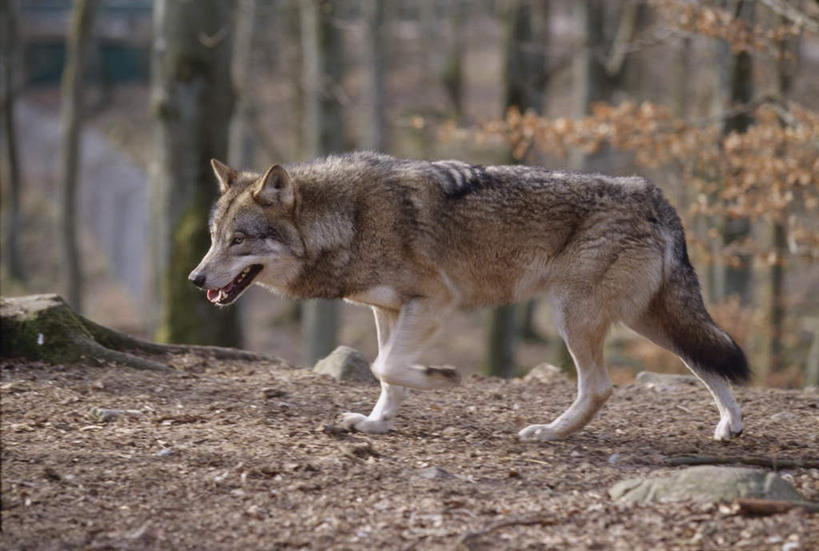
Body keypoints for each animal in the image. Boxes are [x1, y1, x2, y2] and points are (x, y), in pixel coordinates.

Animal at [191, 152, 748, 444]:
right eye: (214, 237)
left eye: (239, 240)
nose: (195, 278)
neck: (349, 219)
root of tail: (651, 192)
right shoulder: (387, 309)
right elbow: (386, 375)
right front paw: (377, 423)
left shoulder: (434, 302)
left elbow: (387, 367)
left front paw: (439, 377)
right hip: (646, 318)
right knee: (706, 360)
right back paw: (730, 425)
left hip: (577, 315)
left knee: (601, 387)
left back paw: (549, 433)